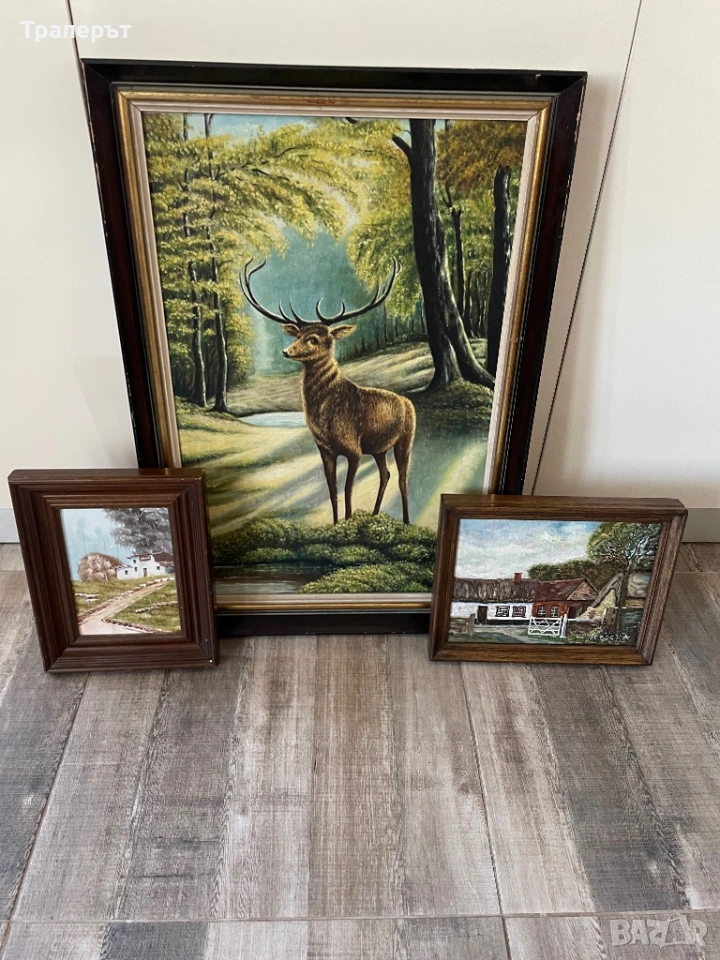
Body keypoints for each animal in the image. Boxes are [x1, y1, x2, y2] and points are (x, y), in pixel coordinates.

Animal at [240, 259, 416, 525]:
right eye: (298, 334)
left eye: (314, 338)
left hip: (406, 439)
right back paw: (374, 514)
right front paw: (335, 522)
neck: (325, 416)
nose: (286, 351)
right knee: (385, 474)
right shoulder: (324, 449)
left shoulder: (353, 450)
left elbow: (348, 490)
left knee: (403, 478)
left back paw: (405, 520)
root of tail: (408, 402)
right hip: (378, 449)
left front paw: (349, 520)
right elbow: (332, 490)